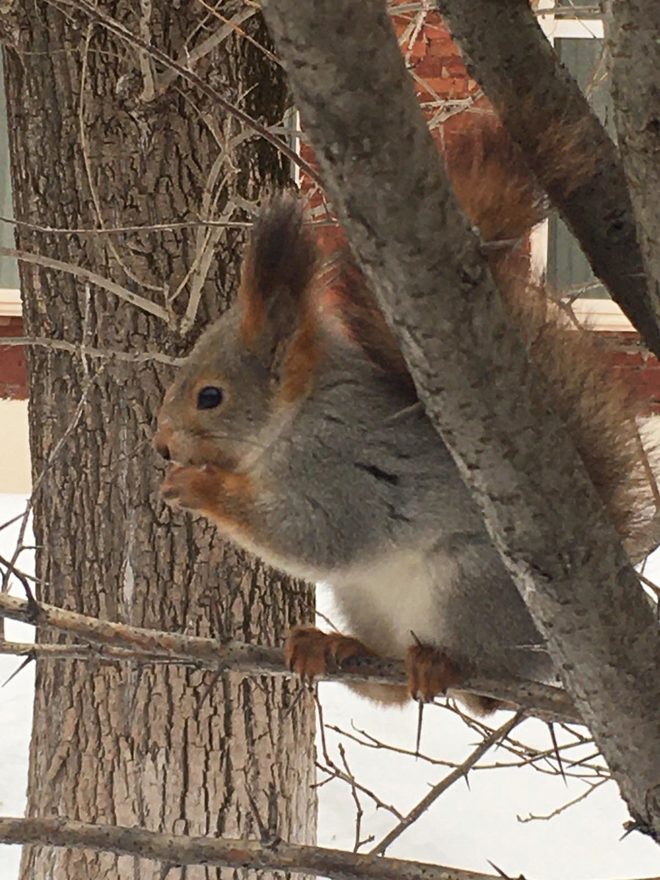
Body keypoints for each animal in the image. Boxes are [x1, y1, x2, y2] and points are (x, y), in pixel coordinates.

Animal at [155, 122, 656, 716]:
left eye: (210, 396)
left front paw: (198, 486)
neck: (293, 420)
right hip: (361, 597)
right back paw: (333, 646)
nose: (161, 446)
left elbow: (317, 534)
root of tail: (545, 656)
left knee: (483, 690)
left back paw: (445, 664)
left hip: (468, 585)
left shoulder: (343, 469)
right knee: (389, 688)